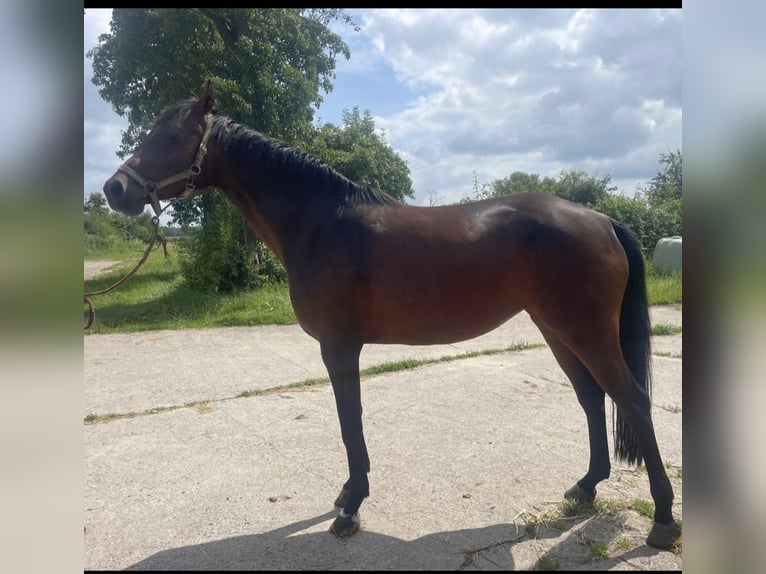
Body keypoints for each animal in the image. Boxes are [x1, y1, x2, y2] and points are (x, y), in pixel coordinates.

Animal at [102, 84, 681, 549]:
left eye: (173, 136)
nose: (115, 189)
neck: (320, 222)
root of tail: (601, 219)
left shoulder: (338, 346)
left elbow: (349, 422)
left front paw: (350, 505)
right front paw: (347, 496)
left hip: (585, 332)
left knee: (632, 400)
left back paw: (663, 521)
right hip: (558, 330)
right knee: (592, 398)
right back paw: (585, 488)